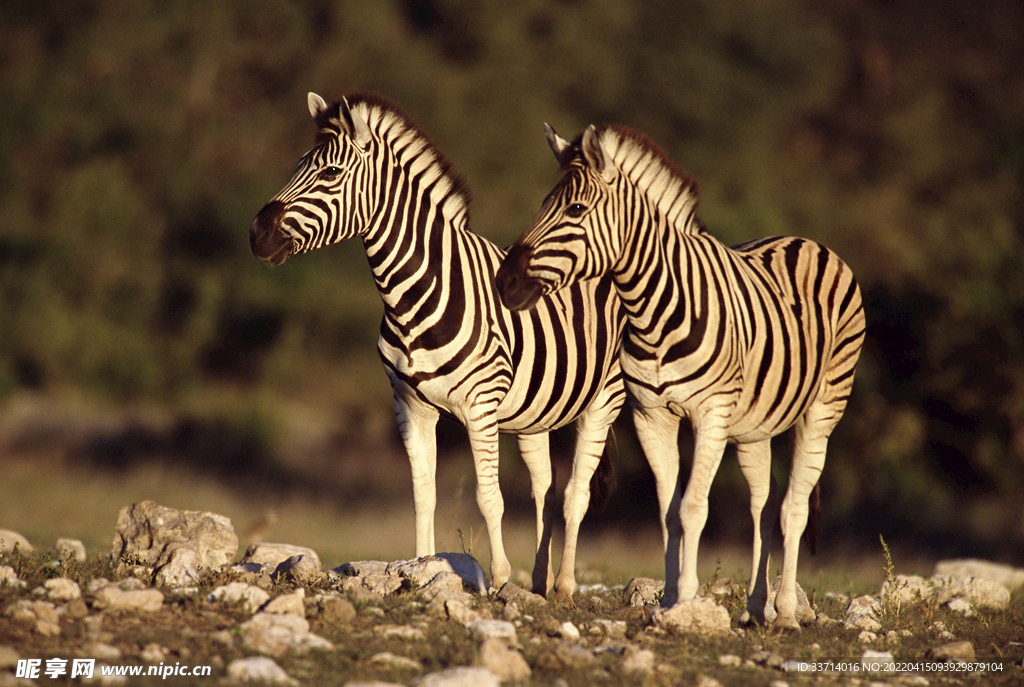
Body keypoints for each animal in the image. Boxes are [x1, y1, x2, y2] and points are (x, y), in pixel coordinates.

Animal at [251, 94, 626, 597]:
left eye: (329, 172)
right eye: (297, 165)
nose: (257, 234)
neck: (413, 295)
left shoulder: (480, 406)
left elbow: (489, 496)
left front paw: (498, 579)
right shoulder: (410, 405)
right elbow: (423, 492)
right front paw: (422, 566)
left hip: (603, 401)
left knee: (575, 494)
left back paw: (563, 585)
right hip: (534, 414)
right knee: (544, 487)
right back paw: (540, 581)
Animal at [495, 123, 864, 630]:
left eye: (575, 210)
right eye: (544, 205)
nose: (504, 283)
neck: (653, 310)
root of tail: (807, 241)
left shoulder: (711, 414)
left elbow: (692, 507)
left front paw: (687, 597)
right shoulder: (652, 416)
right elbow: (668, 510)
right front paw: (669, 598)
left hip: (823, 409)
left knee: (793, 508)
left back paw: (786, 612)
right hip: (754, 426)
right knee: (763, 505)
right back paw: (756, 607)